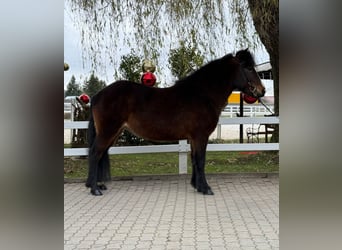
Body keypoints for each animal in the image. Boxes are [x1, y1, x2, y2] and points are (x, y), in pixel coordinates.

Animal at [85, 49, 264, 195]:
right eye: (248, 68)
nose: (262, 91)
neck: (202, 95)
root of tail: (98, 95)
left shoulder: (193, 138)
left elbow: (194, 159)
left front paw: (197, 186)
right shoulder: (201, 136)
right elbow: (200, 160)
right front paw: (206, 188)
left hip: (114, 133)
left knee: (100, 154)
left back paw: (98, 185)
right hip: (108, 132)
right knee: (95, 153)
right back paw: (94, 189)